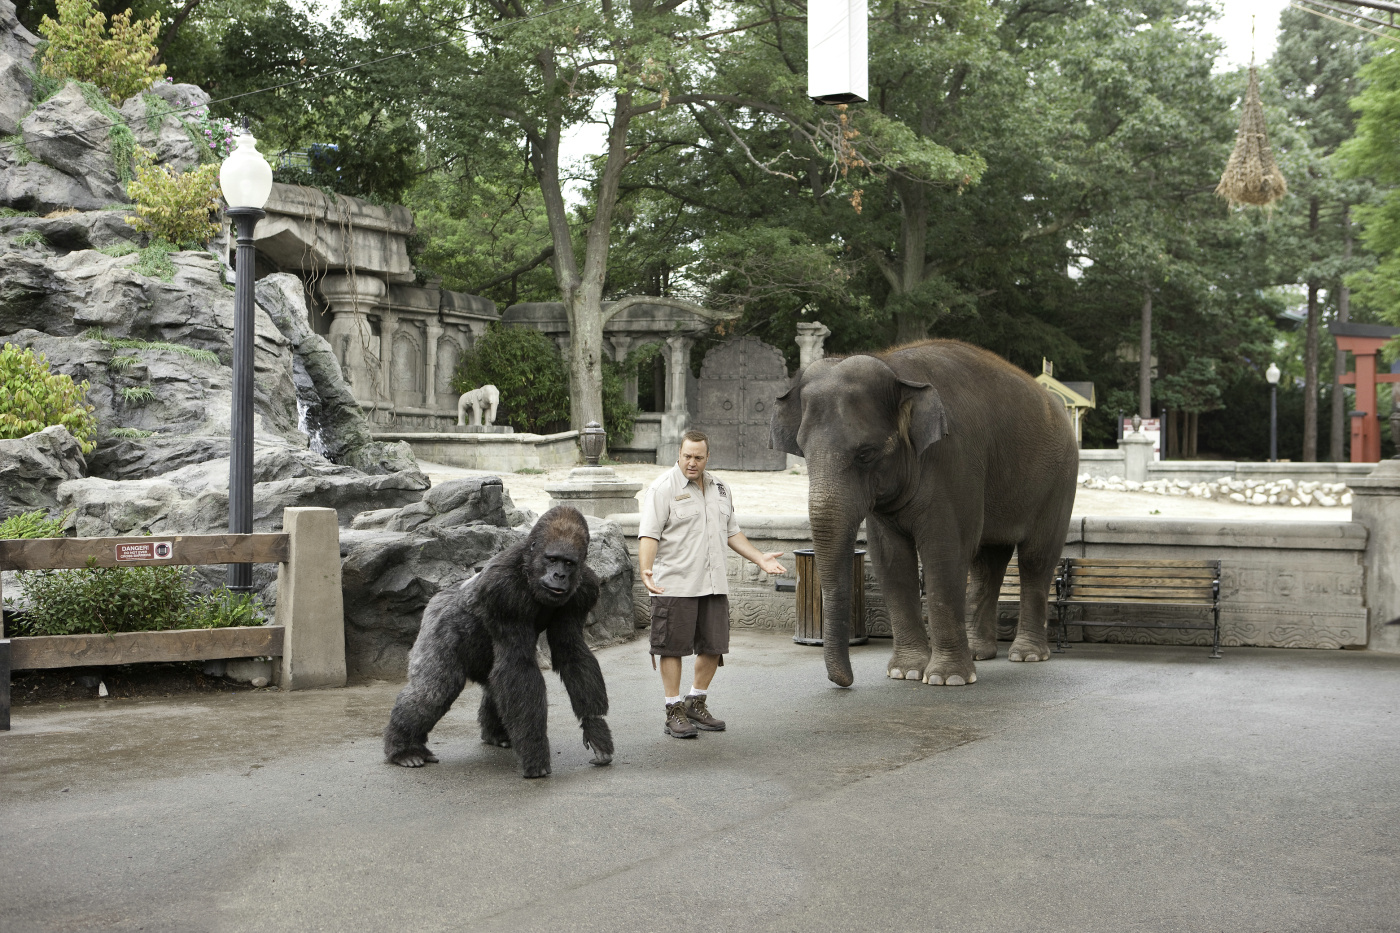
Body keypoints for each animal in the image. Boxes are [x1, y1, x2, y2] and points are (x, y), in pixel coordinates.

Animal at [383, 504, 613, 773]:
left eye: (568, 563)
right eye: (552, 559)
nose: (559, 575)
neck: (528, 567)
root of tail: (438, 597)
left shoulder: (585, 589)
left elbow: (571, 651)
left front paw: (596, 729)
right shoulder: (502, 591)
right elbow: (518, 665)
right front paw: (535, 752)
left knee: (493, 683)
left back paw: (495, 734)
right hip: (438, 621)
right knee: (434, 690)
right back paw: (404, 749)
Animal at [767, 340, 1080, 683]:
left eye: (866, 453)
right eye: (802, 451)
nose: (845, 682)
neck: (895, 368)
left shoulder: (954, 460)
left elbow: (944, 551)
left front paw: (947, 678)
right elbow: (890, 557)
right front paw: (905, 672)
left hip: (1060, 479)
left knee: (1036, 558)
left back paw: (1028, 655)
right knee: (987, 562)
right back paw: (978, 652)